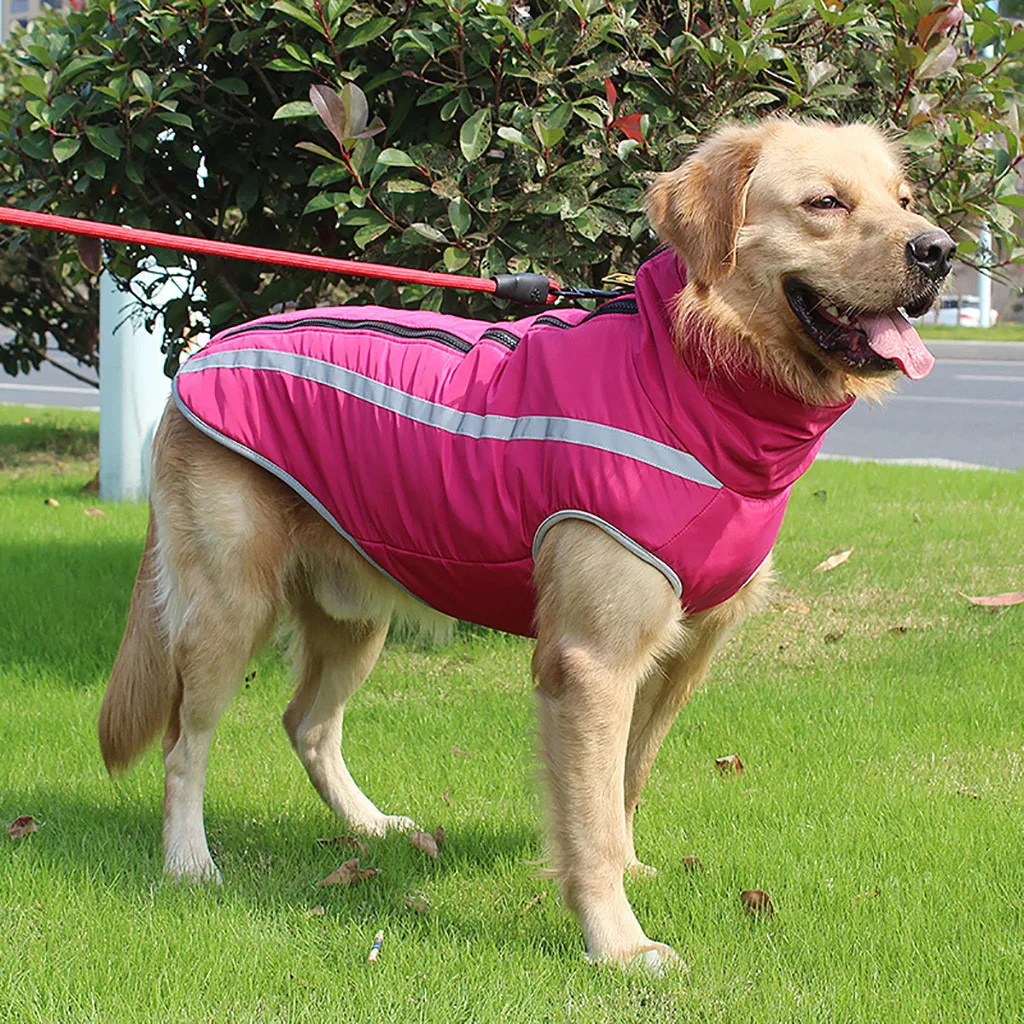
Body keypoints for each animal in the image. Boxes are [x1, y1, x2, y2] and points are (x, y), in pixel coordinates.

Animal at [99, 119, 954, 966]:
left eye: (905, 199)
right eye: (825, 203)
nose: (939, 250)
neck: (690, 372)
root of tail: (202, 355)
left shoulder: (679, 656)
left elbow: (626, 782)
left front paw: (633, 875)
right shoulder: (592, 660)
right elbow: (593, 820)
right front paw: (617, 944)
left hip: (354, 615)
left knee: (306, 724)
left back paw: (371, 826)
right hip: (227, 609)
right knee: (183, 745)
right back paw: (189, 863)